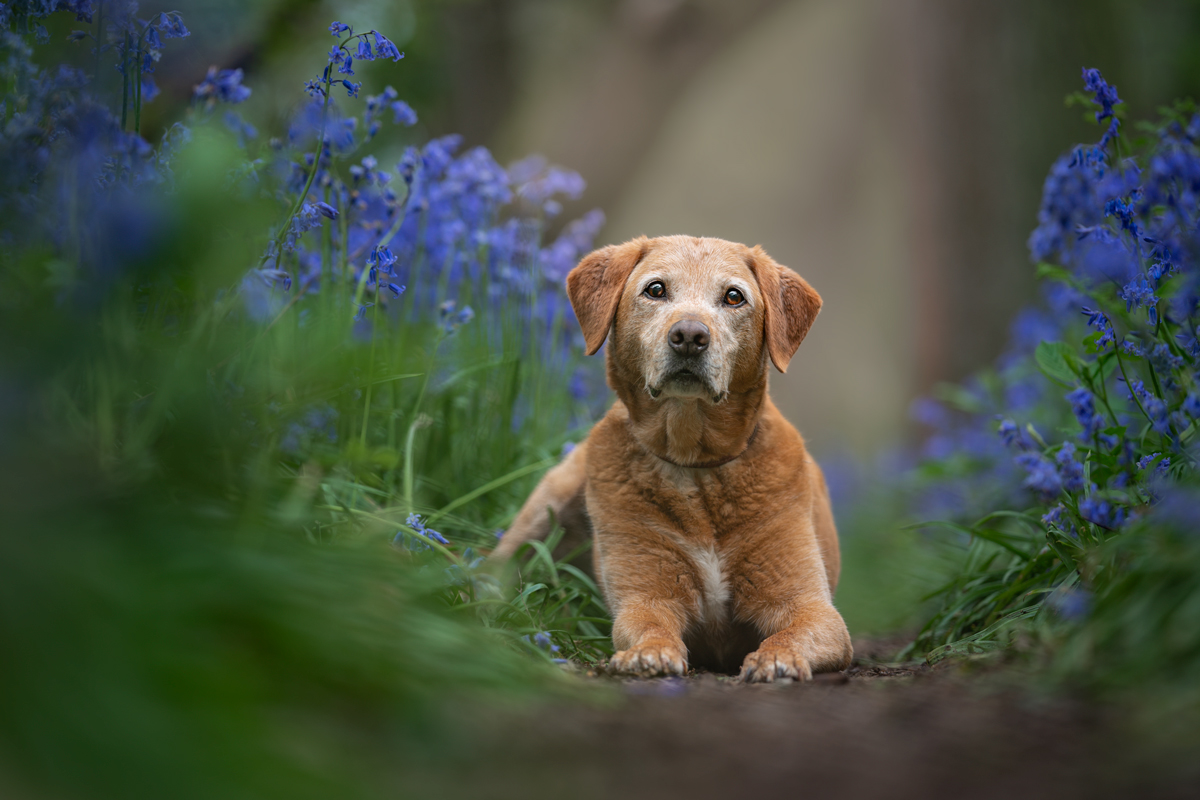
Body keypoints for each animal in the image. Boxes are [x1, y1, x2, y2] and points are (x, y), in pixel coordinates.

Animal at [489, 236, 854, 681]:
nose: (689, 335)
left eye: (734, 296)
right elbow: (649, 625)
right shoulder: (645, 593)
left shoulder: (812, 607)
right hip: (544, 509)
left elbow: (792, 633)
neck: (695, 464)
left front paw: (777, 658)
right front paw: (650, 654)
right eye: (656, 289)